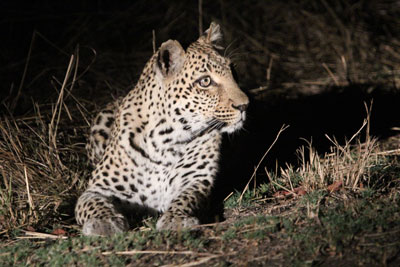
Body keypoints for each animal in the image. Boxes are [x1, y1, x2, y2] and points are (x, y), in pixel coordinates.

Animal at [74, 23, 248, 237]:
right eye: (205, 81)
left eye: (233, 71)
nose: (244, 105)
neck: (166, 138)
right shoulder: (99, 188)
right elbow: (92, 203)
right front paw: (103, 222)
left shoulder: (195, 181)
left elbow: (187, 198)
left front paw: (176, 219)